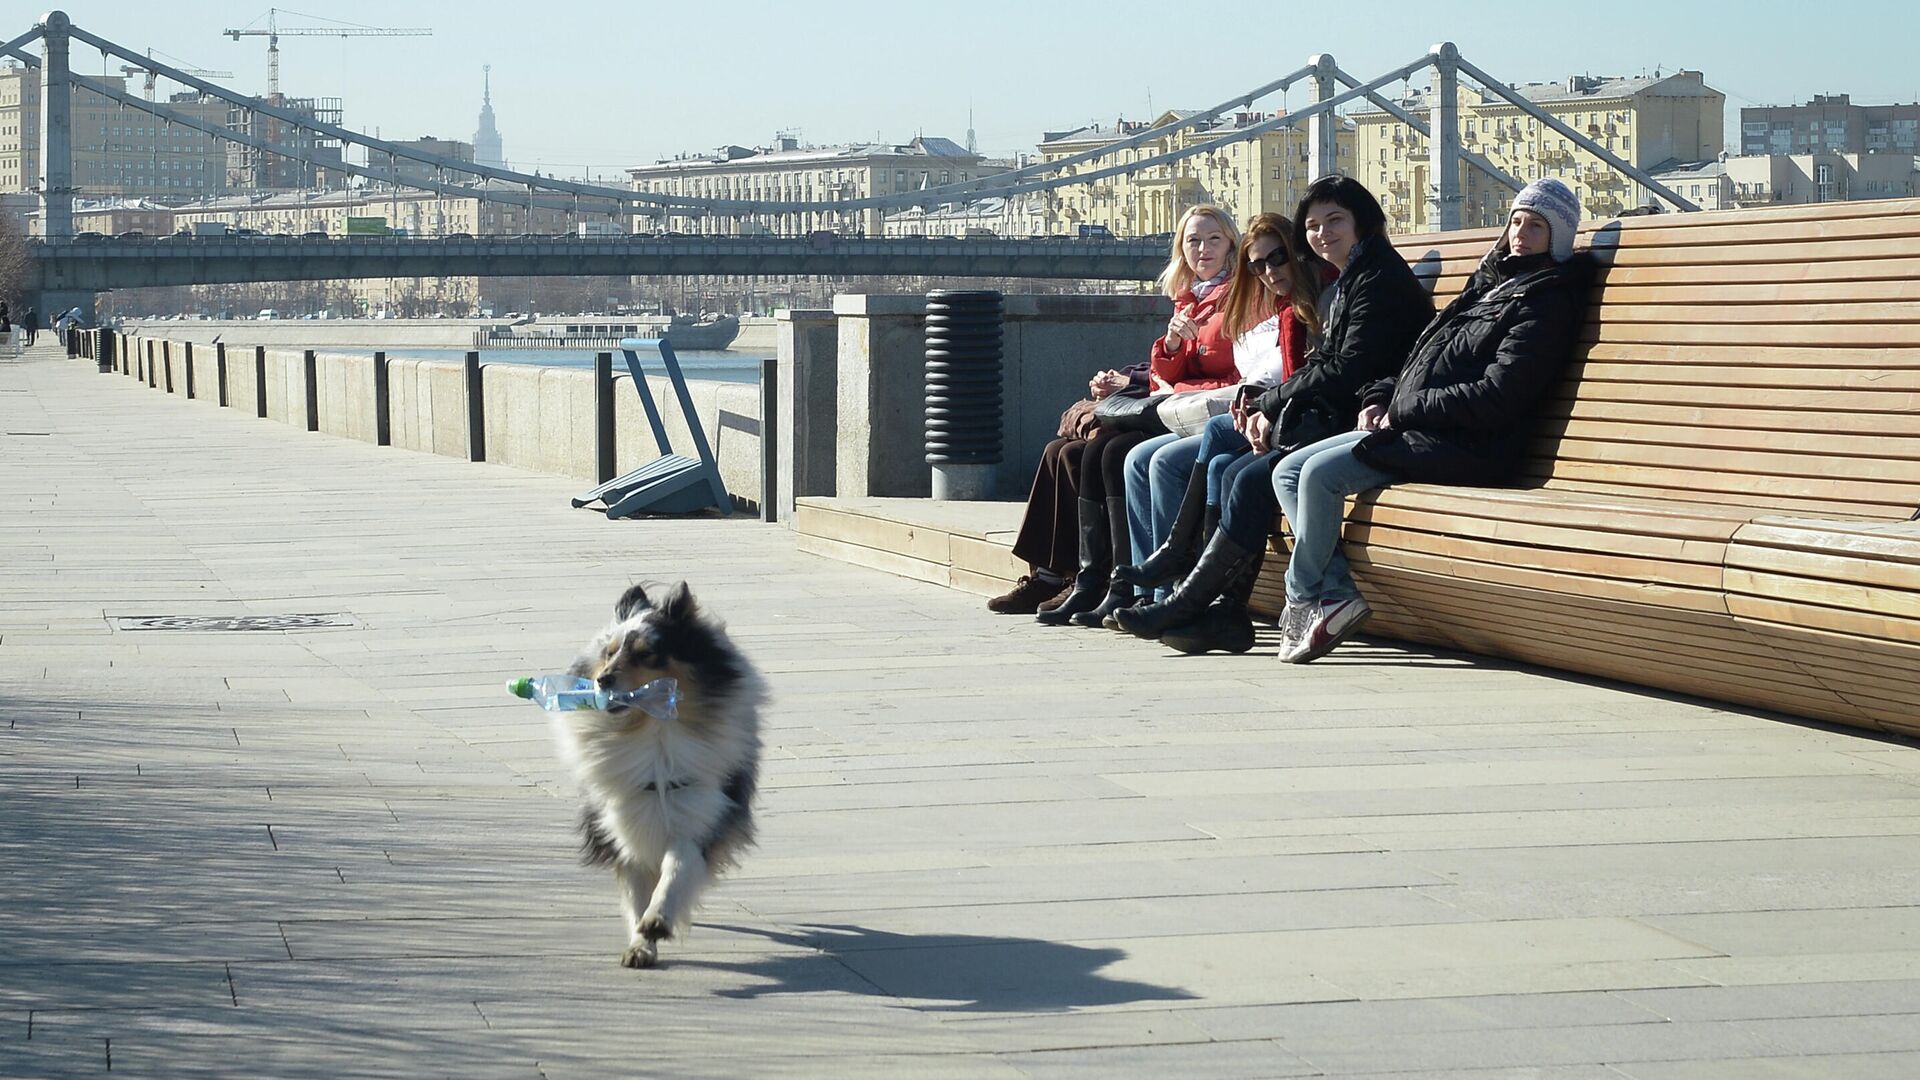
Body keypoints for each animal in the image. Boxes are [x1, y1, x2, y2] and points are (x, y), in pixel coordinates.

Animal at [556, 580, 764, 968]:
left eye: (646, 654)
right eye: (609, 653)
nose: (602, 680)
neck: (654, 731)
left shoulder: (697, 814)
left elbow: (677, 868)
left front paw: (657, 922)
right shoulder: (624, 823)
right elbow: (636, 892)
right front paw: (640, 946)